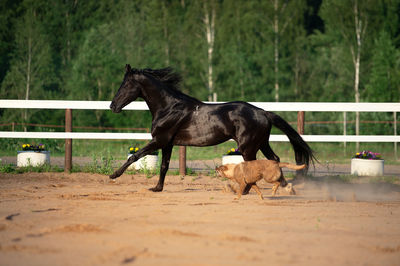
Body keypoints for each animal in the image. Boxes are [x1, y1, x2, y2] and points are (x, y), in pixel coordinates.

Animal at [110, 65, 316, 192]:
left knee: (255, 165)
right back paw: (284, 186)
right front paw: (157, 188)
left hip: (248, 146)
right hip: (261, 143)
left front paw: (113, 175)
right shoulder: (168, 143)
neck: (168, 107)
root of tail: (263, 112)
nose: (112, 106)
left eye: (125, 84)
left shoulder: (159, 140)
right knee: (274, 159)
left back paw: (248, 190)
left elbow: (135, 156)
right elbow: (164, 166)